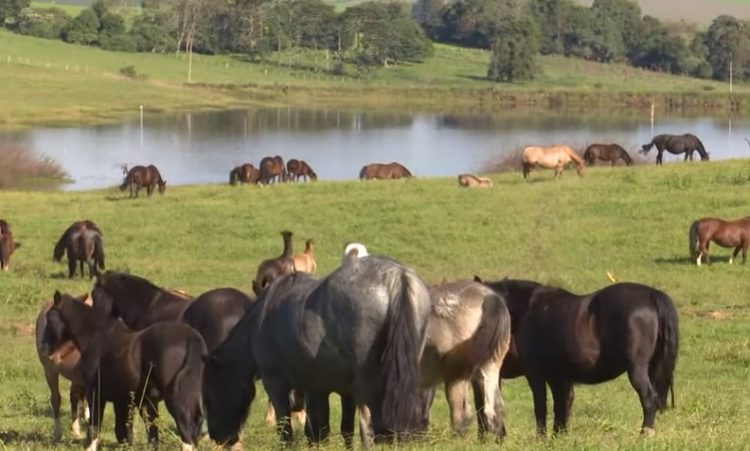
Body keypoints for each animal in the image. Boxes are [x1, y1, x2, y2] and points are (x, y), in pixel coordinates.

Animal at [43, 289, 207, 451]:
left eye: (50, 316)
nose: (46, 349)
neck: (96, 337)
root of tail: (191, 339)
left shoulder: (96, 393)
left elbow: (95, 427)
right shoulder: (127, 399)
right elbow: (128, 433)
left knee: (186, 431)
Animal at [202, 253, 432, 448]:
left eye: (210, 397)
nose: (218, 437)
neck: (258, 322)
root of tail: (397, 277)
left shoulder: (275, 382)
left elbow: (287, 431)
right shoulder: (321, 388)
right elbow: (329, 430)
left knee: (367, 427)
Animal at [517, 283, 678, 435]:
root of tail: (652, 294)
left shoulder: (535, 373)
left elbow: (541, 406)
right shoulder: (558, 376)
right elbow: (561, 406)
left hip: (637, 369)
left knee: (649, 399)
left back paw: (644, 434)